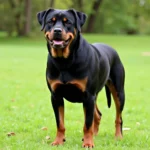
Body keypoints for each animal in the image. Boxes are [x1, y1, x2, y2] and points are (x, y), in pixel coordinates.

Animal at [36, 8, 125, 148]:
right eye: (51, 21)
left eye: (68, 22)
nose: (57, 30)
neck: (64, 61)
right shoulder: (56, 96)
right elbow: (60, 123)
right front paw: (58, 141)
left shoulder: (88, 96)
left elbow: (87, 124)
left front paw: (88, 143)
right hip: (95, 96)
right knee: (98, 115)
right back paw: (95, 134)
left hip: (118, 92)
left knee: (118, 117)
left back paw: (118, 136)